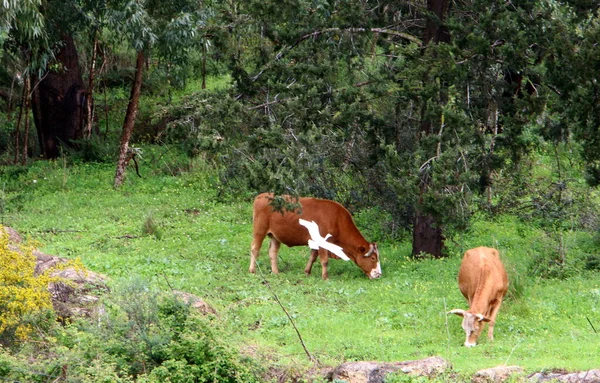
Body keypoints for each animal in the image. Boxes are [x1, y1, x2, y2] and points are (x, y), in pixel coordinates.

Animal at [247, 194, 380, 280]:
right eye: (373, 258)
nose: (378, 274)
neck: (337, 219)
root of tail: (261, 196)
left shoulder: (315, 243)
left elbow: (313, 256)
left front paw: (307, 272)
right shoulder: (323, 243)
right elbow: (324, 260)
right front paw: (325, 277)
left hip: (275, 235)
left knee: (273, 252)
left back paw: (275, 272)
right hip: (259, 230)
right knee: (255, 248)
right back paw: (252, 270)